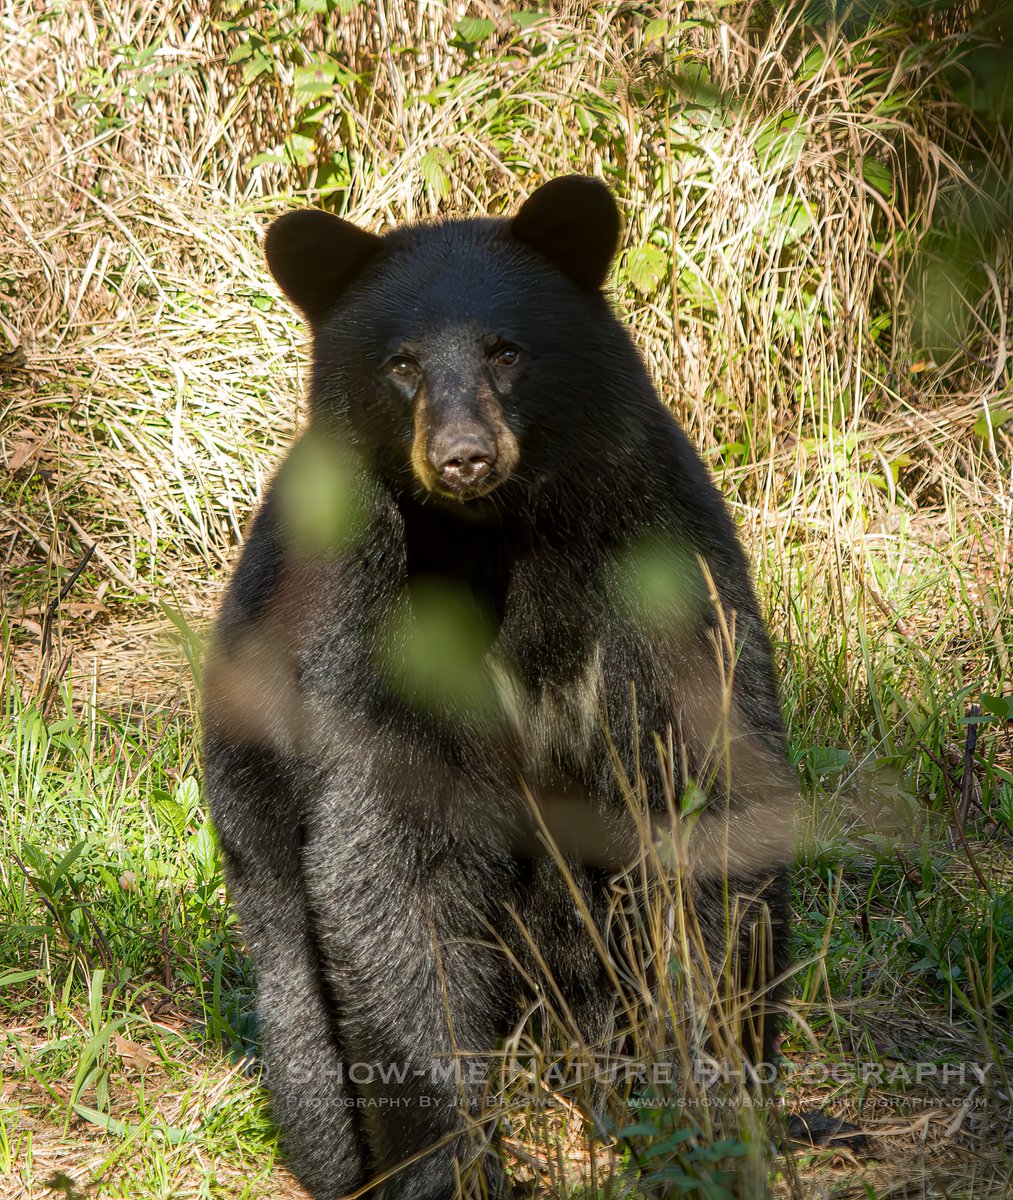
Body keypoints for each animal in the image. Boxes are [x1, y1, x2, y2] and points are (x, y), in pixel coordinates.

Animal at [203, 176, 797, 1200]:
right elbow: (390, 856)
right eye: (401, 363)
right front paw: (449, 1159)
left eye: (506, 350)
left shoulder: (653, 557)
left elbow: (701, 786)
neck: (498, 537)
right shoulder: (361, 605)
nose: (464, 456)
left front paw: (706, 1099)